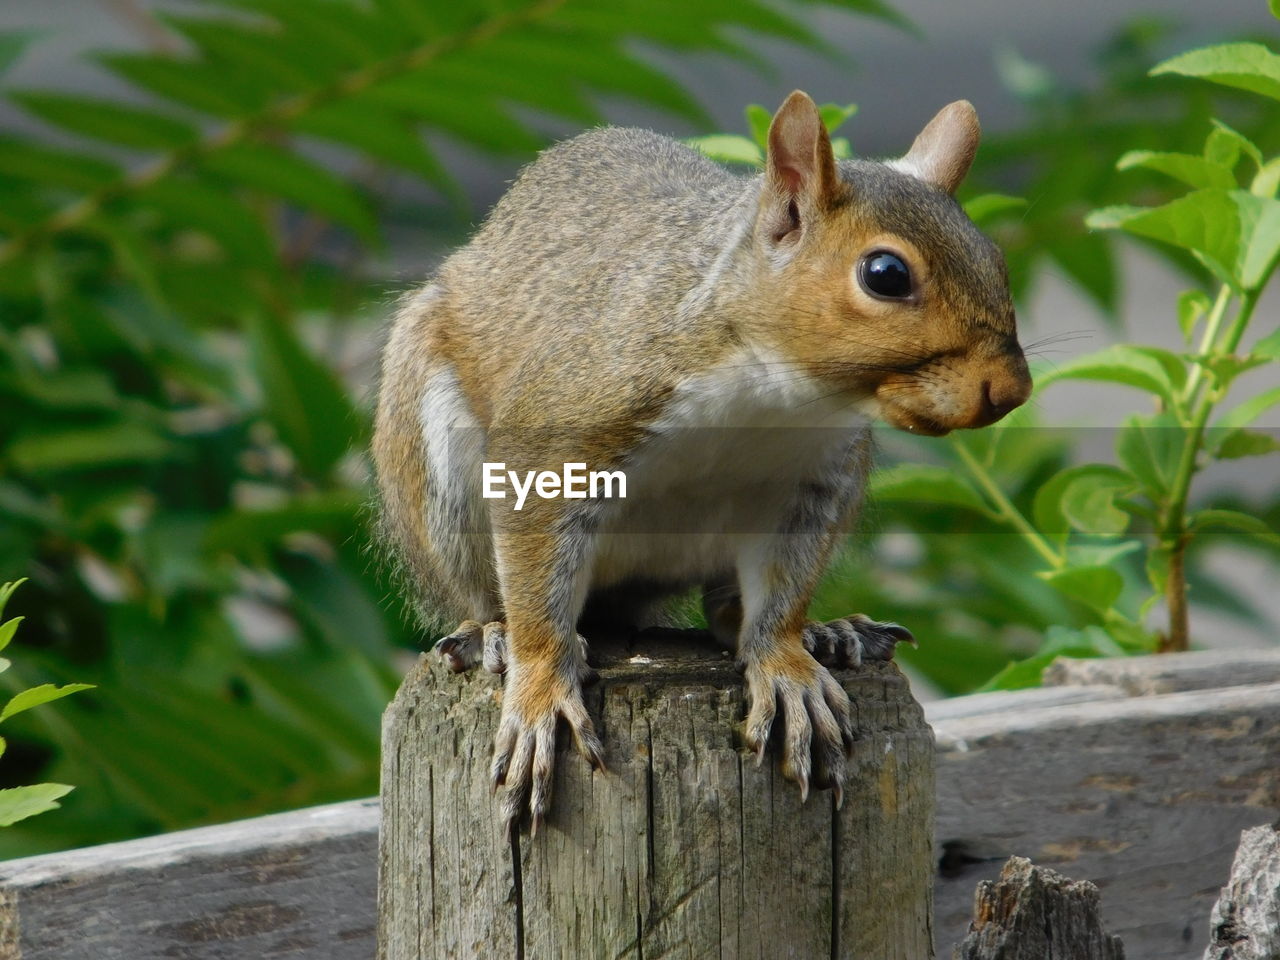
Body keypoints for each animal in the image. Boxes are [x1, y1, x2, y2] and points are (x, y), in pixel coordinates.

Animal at [371, 94, 1029, 839]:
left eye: (994, 258)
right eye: (885, 274)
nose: (1011, 390)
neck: (774, 392)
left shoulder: (817, 482)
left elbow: (781, 595)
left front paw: (788, 665)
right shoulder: (558, 440)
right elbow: (538, 577)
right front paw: (540, 689)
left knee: (725, 609)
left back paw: (830, 634)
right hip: (435, 460)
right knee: (480, 592)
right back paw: (491, 637)